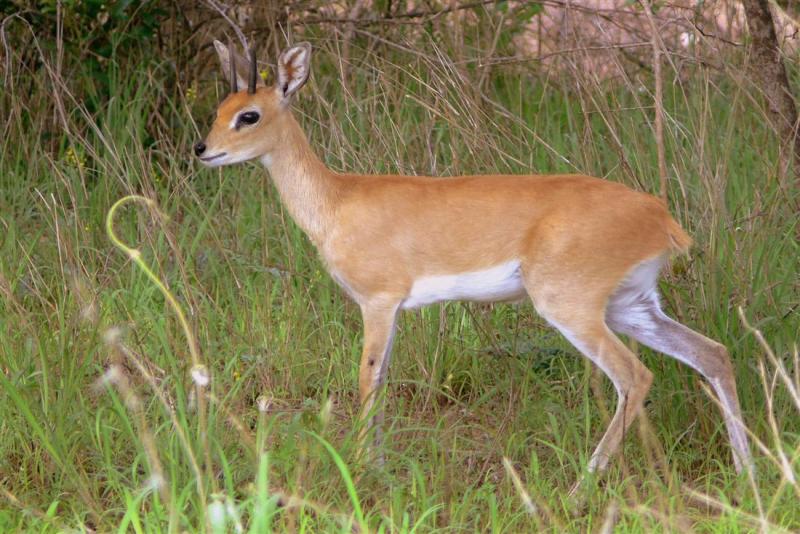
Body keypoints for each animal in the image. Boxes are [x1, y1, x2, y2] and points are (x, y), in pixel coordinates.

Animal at [192, 39, 752, 480]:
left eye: (249, 115)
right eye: (221, 107)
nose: (202, 149)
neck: (337, 201)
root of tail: (660, 216)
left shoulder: (378, 301)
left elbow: (367, 379)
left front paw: (364, 468)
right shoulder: (393, 311)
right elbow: (383, 379)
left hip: (571, 309)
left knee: (636, 377)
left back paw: (581, 486)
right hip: (632, 306)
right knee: (712, 354)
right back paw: (748, 472)